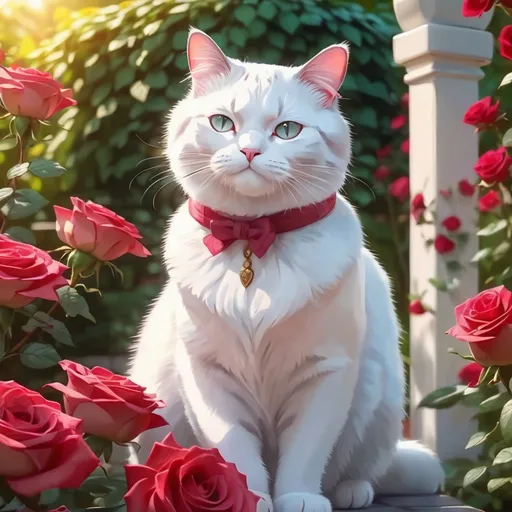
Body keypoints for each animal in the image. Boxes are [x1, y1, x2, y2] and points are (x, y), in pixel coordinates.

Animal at [129, 29, 444, 512]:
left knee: (362, 470)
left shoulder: (325, 371)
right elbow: (234, 449)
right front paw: (251, 497)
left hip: (381, 397)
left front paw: (298, 497)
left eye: (287, 130)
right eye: (221, 123)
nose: (249, 150)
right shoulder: (209, 374)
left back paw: (351, 492)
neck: (253, 240)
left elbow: (306, 452)